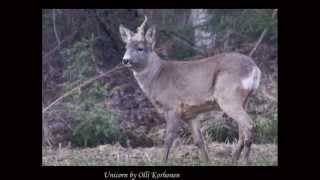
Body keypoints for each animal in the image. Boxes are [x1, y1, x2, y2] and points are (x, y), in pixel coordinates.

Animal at [119, 16, 262, 164]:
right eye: (126, 47)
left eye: (140, 48)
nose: (125, 60)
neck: (157, 76)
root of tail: (254, 69)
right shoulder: (190, 113)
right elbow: (199, 141)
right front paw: (206, 161)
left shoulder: (172, 106)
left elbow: (168, 139)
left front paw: (162, 161)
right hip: (244, 100)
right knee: (242, 130)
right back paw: (234, 159)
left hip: (228, 97)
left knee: (249, 125)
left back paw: (244, 160)